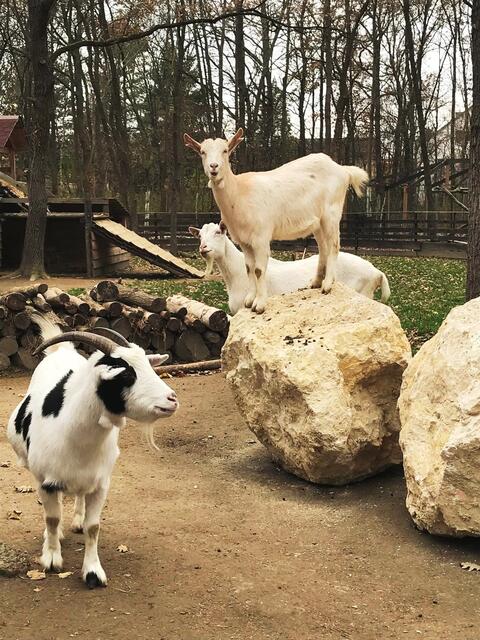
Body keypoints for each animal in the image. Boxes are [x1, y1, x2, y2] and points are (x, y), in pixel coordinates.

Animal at [7, 318, 178, 589]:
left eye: (147, 366)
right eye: (127, 373)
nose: (172, 399)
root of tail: (61, 351)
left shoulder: (101, 483)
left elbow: (94, 526)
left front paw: (93, 572)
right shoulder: (46, 482)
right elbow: (52, 519)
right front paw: (52, 558)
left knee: (79, 495)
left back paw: (77, 519)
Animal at [184, 129, 369, 313]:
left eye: (225, 150)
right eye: (202, 152)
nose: (214, 167)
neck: (239, 192)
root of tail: (343, 169)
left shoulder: (261, 237)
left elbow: (259, 270)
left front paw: (259, 305)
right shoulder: (244, 241)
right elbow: (249, 268)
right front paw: (249, 301)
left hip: (332, 212)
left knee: (334, 245)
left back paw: (328, 285)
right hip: (318, 222)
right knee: (323, 247)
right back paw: (316, 282)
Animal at [190, 222, 390, 314]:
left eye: (218, 232)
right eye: (199, 236)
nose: (203, 248)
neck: (236, 274)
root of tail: (377, 272)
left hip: (363, 294)